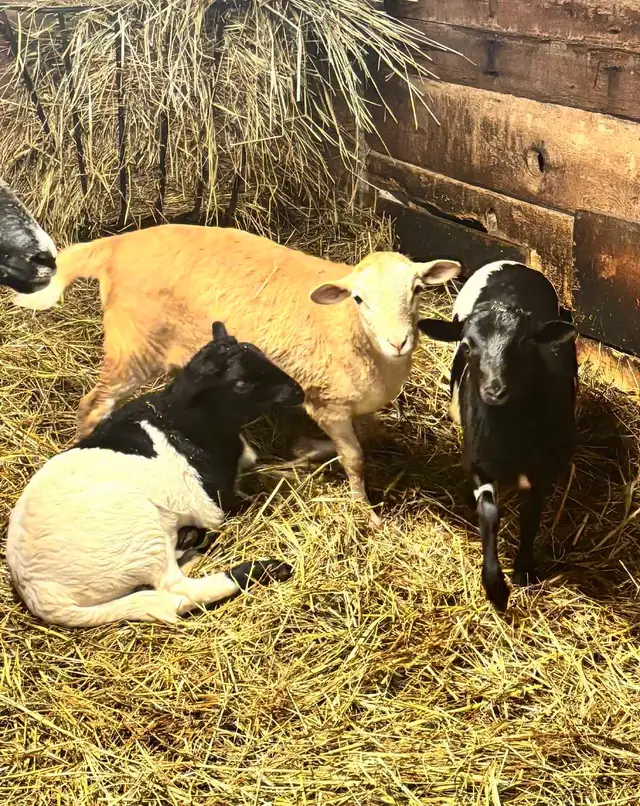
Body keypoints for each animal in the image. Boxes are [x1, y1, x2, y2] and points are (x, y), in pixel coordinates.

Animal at [5, 321, 304, 628]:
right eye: (241, 385)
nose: (298, 392)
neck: (179, 424)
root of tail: (41, 595)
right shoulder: (217, 502)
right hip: (140, 533)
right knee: (175, 592)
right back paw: (264, 568)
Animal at [14, 223, 461, 525]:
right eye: (358, 299)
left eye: (417, 291)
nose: (398, 341)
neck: (353, 334)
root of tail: (118, 244)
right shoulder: (327, 403)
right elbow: (354, 458)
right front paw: (364, 511)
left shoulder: (355, 407)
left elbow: (364, 437)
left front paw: (302, 452)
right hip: (132, 348)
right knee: (92, 405)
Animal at [418, 261, 578, 610]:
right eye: (467, 346)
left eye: (525, 343)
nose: (495, 391)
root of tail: (510, 264)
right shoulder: (480, 462)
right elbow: (489, 514)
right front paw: (495, 587)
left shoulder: (542, 471)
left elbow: (530, 516)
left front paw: (523, 572)